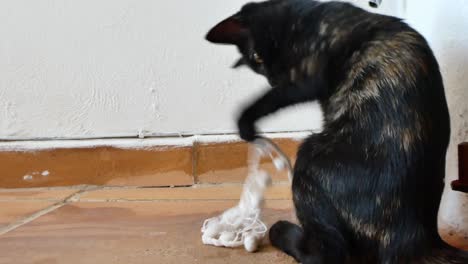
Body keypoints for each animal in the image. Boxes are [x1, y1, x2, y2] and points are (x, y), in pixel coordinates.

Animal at [206, 0, 468, 264]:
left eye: (258, 56)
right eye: (257, 64)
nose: (271, 78)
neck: (299, 18)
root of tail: (416, 236)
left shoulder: (304, 77)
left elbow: (271, 98)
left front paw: (245, 123)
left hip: (309, 158)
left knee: (328, 252)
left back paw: (281, 231)